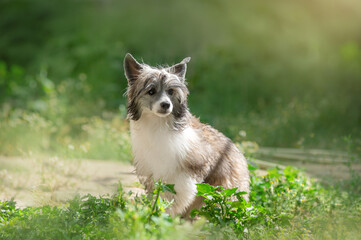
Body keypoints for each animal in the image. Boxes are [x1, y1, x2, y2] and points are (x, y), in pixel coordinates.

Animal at [122, 53, 249, 217]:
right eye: (151, 91)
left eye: (171, 91)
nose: (166, 105)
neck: (159, 124)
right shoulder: (151, 171)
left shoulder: (190, 169)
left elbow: (179, 193)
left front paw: (167, 212)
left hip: (225, 189)